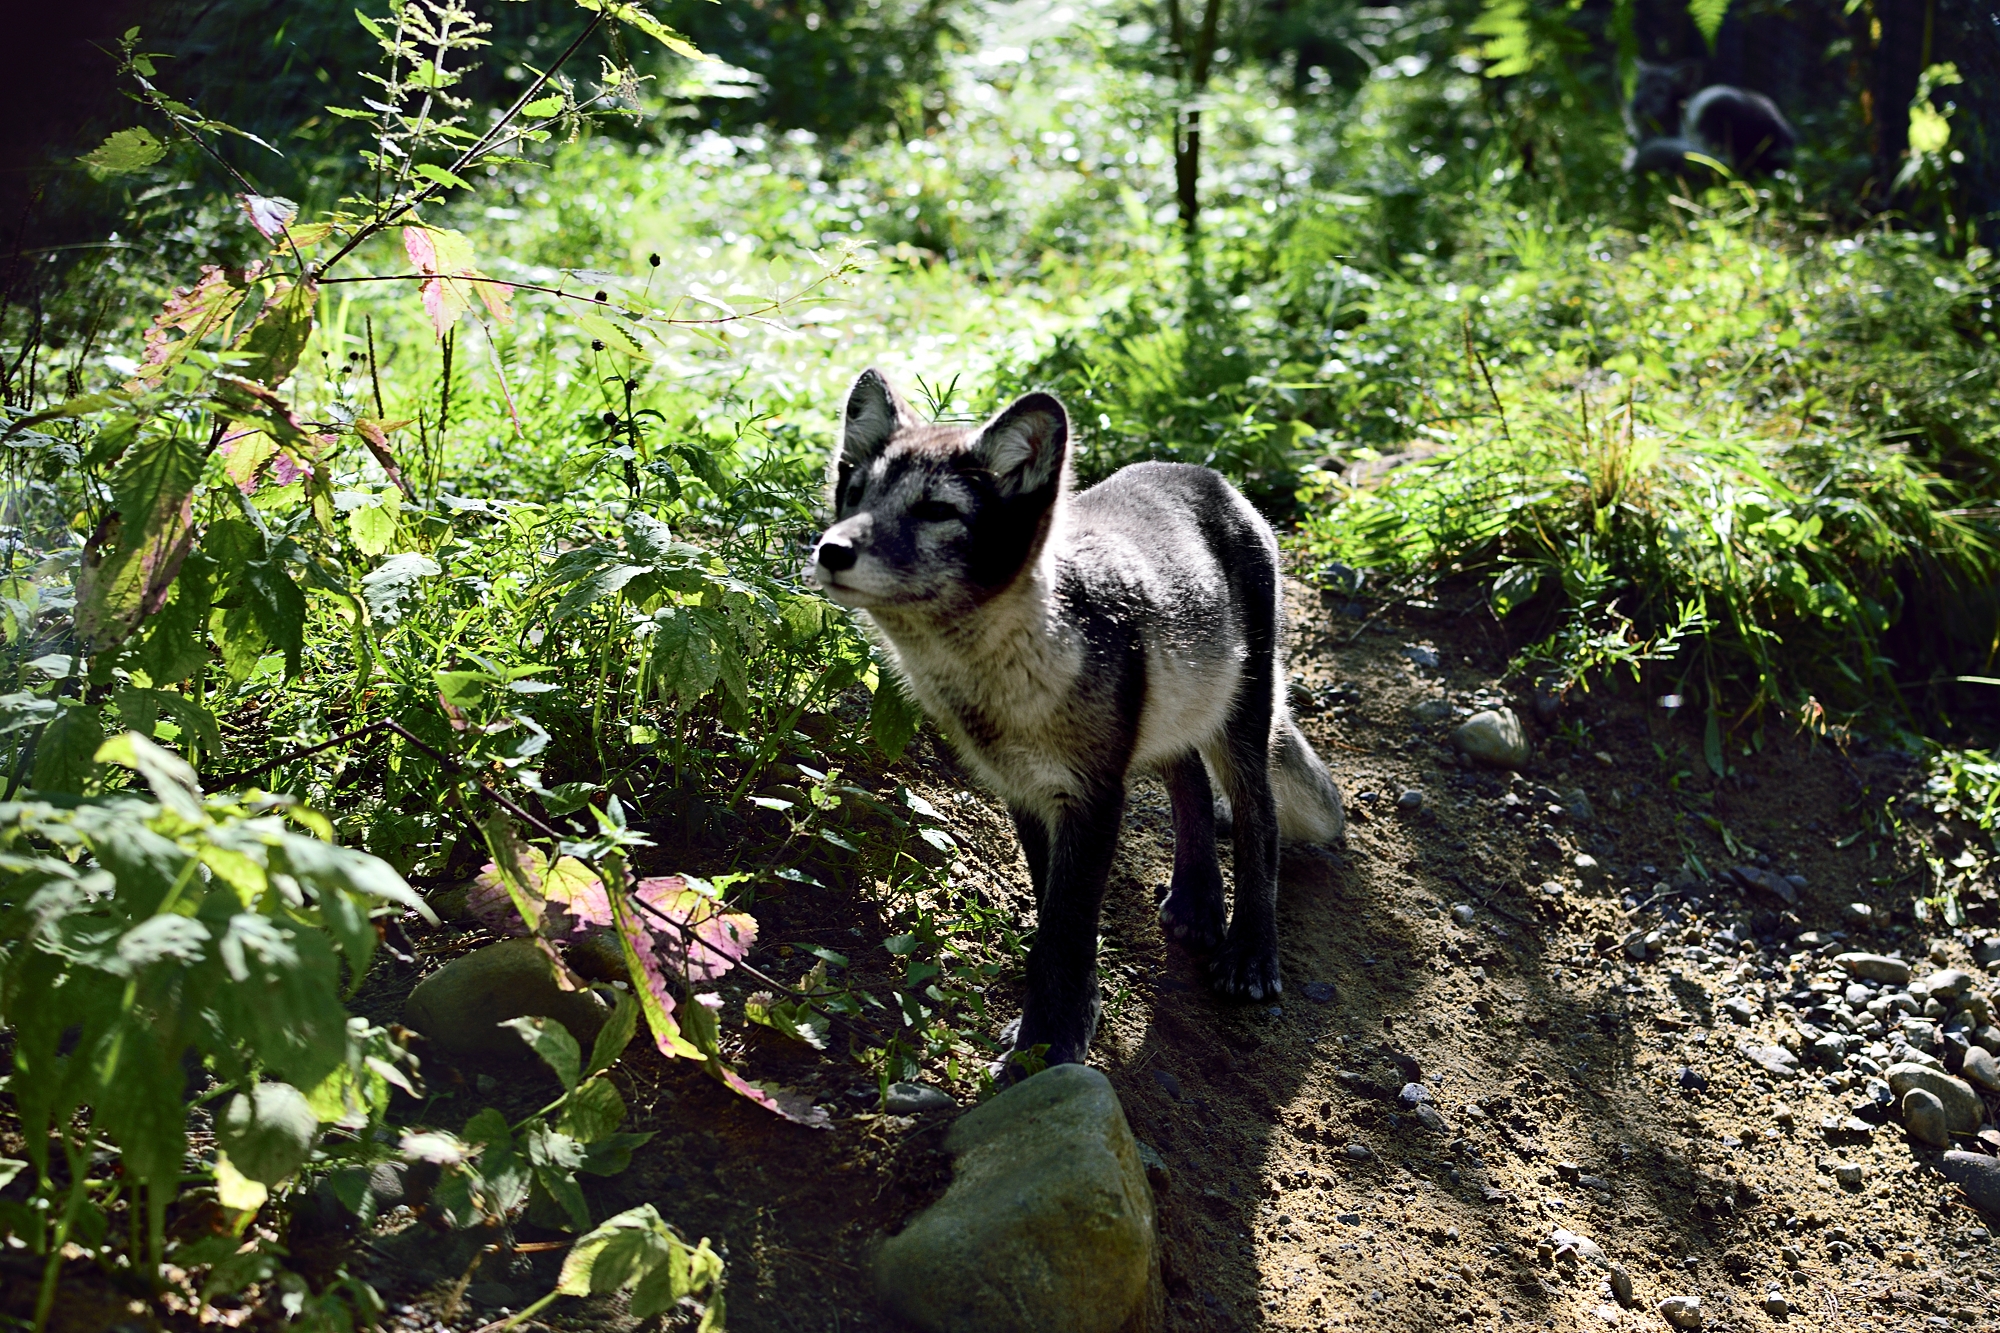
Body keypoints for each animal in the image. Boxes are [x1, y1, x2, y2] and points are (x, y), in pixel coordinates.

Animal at [809, 369, 1346, 1073]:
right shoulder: (1028, 791)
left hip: (1244, 716)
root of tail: (1203, 474)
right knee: (1190, 783)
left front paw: (1048, 1043)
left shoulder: (1094, 795)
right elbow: (1054, 918)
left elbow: (1066, 931)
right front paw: (1061, 1024)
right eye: (853, 493)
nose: (830, 550)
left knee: (1259, 816)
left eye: (937, 511)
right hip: (1172, 716)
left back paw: (1251, 952)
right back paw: (1198, 903)